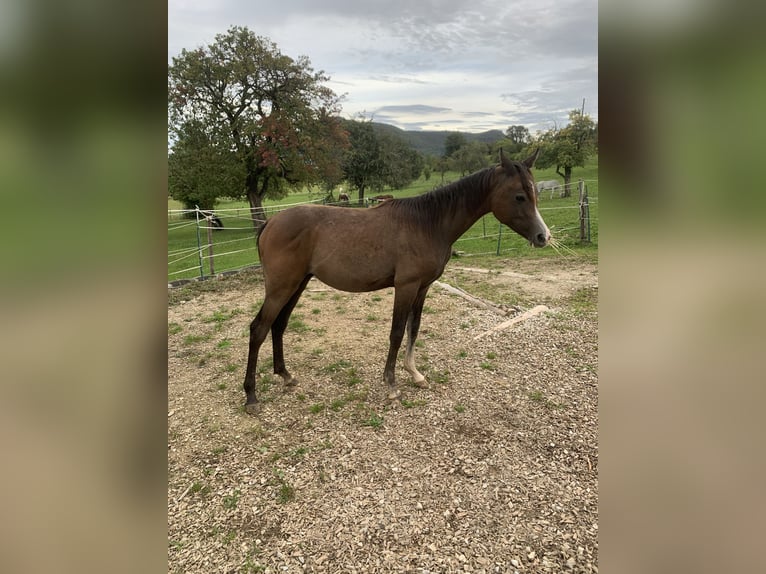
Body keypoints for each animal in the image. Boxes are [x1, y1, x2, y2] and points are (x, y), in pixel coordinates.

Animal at [243, 151, 548, 416]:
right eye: (520, 196)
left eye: (536, 193)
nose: (543, 236)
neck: (427, 223)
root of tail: (271, 222)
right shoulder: (406, 286)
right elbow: (397, 333)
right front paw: (391, 385)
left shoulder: (423, 288)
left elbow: (414, 329)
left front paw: (415, 374)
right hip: (281, 288)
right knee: (259, 329)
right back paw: (251, 396)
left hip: (298, 285)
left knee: (279, 326)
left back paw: (286, 376)